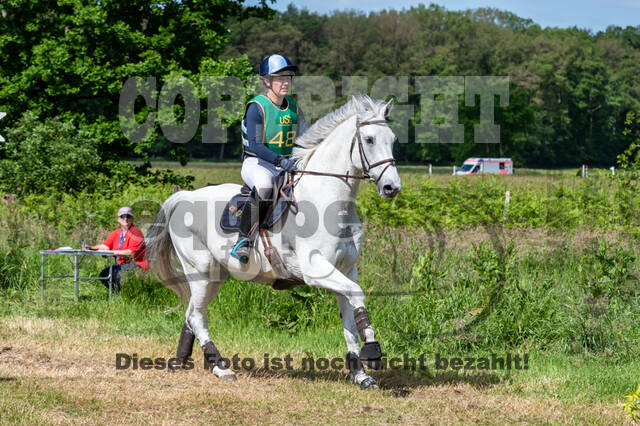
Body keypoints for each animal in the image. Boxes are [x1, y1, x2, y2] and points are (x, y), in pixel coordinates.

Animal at [146, 95, 402, 389]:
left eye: (392, 139)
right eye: (369, 139)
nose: (392, 187)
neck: (331, 202)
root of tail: (183, 197)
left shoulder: (347, 270)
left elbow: (349, 319)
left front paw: (360, 374)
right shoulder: (316, 270)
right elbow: (357, 294)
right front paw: (373, 351)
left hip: (216, 274)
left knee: (192, 312)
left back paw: (182, 360)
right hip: (201, 271)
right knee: (197, 316)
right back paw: (221, 367)